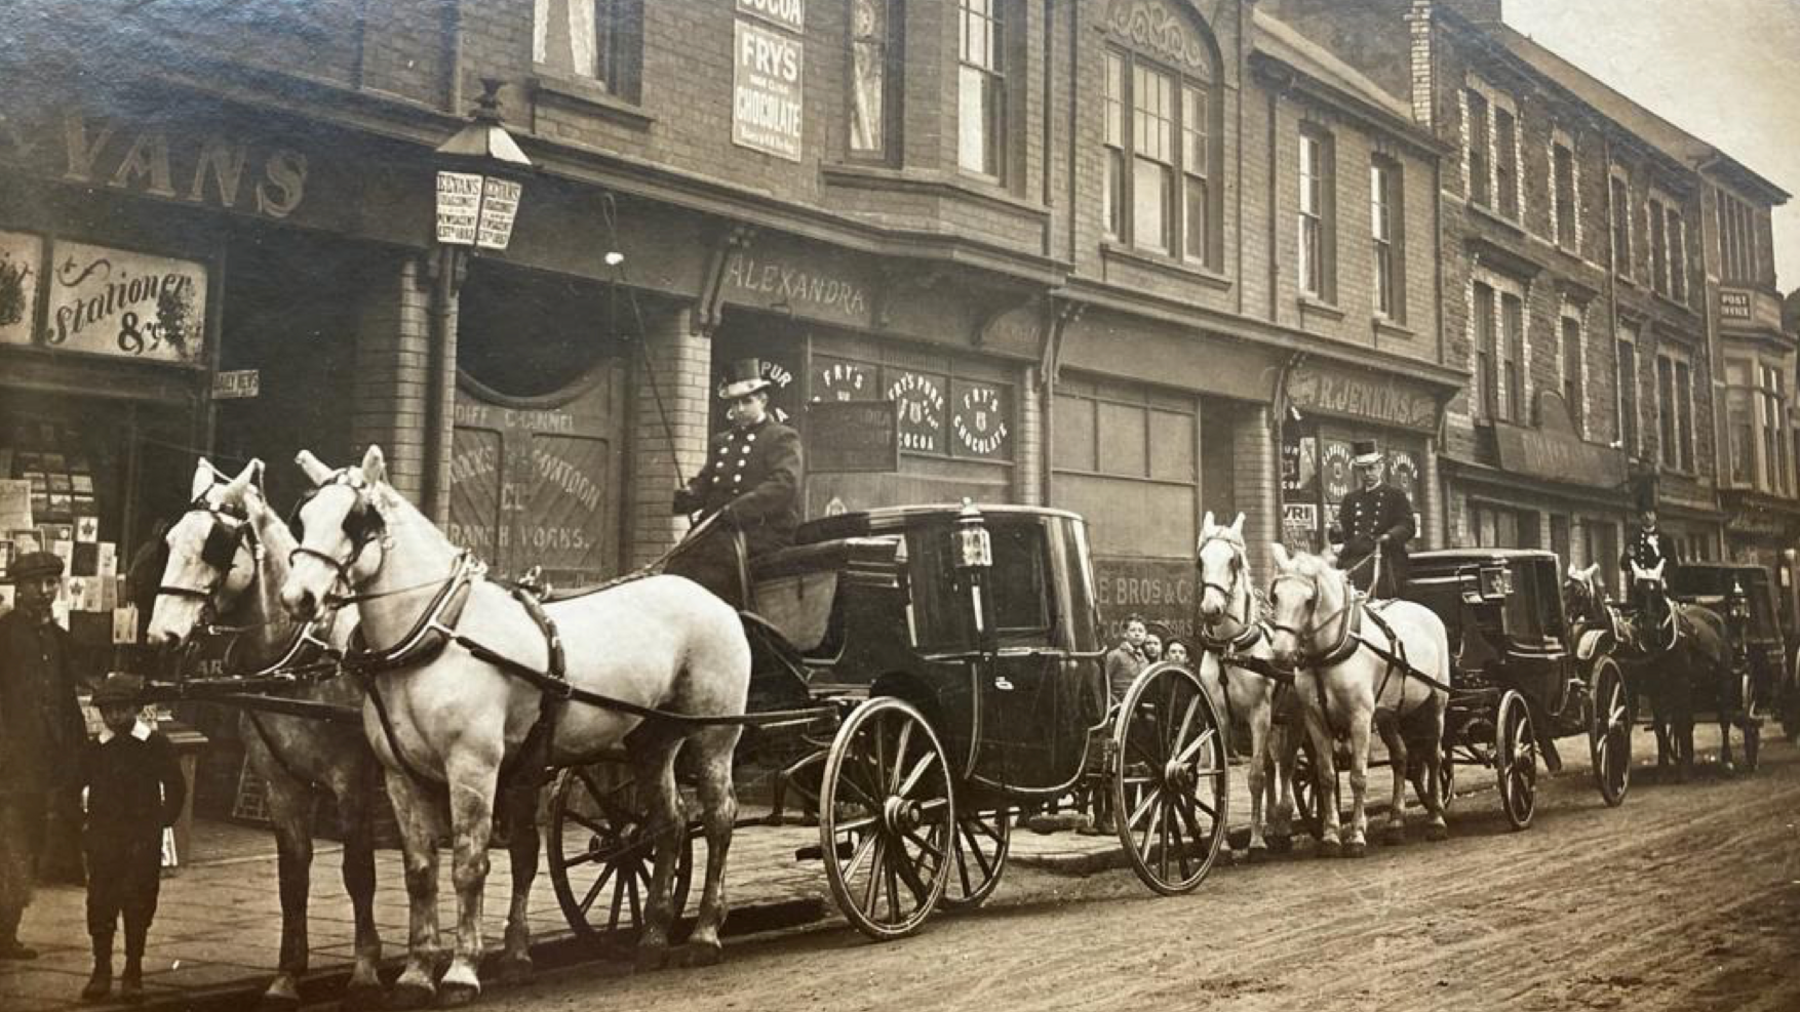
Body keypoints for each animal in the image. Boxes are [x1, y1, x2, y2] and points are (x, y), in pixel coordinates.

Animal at [148, 460, 383, 1001]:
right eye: (169, 540)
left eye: (215, 543)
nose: (160, 636)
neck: (301, 659)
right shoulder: (280, 781)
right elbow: (292, 876)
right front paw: (286, 976)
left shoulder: (352, 779)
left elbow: (358, 870)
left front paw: (365, 969)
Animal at [275, 448, 752, 1008]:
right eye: (304, 517)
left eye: (354, 521)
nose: (298, 598)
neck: (438, 635)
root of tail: (714, 600)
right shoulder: (401, 775)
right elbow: (420, 873)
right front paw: (416, 974)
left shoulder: (473, 768)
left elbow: (468, 866)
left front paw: (462, 972)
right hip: (652, 741)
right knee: (670, 824)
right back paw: (653, 939)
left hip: (712, 736)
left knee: (718, 820)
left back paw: (704, 934)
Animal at [1195, 507, 1296, 853]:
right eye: (1200, 561)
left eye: (1233, 561)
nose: (1211, 609)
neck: (1231, 647)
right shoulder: (1220, 717)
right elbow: (1219, 778)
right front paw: (1224, 845)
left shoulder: (1259, 714)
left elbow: (1255, 777)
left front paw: (1255, 841)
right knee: (1274, 765)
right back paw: (1276, 823)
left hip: (1291, 720)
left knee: (1286, 766)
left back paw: (1283, 823)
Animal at [1260, 543, 1454, 849]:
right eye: (1275, 595)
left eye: (1309, 600)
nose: (1280, 652)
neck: (1328, 653)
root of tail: (1426, 611)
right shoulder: (1315, 719)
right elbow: (1326, 776)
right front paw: (1330, 835)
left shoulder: (1360, 719)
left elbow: (1358, 776)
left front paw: (1356, 836)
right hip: (1388, 715)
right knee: (1401, 757)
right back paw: (1395, 823)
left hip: (1435, 703)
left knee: (1433, 757)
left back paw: (1436, 820)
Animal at [1569, 558, 1749, 770]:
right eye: (1637, 591)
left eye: (1659, 591)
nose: (1649, 628)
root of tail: (1716, 616)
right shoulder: (1655, 687)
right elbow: (1661, 725)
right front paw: (1664, 764)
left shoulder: (1680, 682)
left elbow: (1681, 720)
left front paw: (1685, 765)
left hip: (1724, 679)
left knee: (1724, 717)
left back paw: (1727, 759)